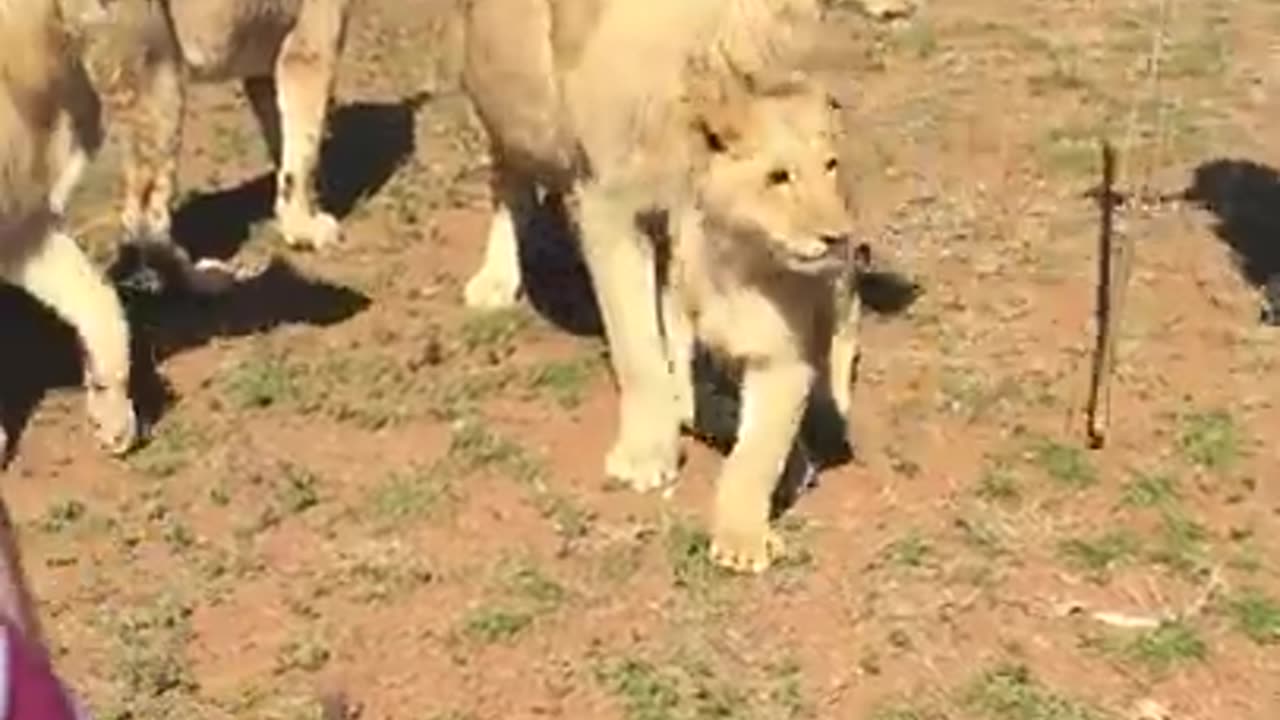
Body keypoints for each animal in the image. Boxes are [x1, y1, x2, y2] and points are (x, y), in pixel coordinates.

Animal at [69, 1, 350, 288]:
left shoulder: (264, 69)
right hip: (160, 79)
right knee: (146, 213)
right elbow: (303, 149)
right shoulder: (307, 50)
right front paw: (305, 229)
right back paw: (205, 279)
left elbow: (283, 144)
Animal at [463, 0, 860, 571]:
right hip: (502, 95)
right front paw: (649, 451)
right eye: (778, 177)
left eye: (830, 166)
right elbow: (640, 346)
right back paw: (495, 278)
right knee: (507, 179)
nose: (836, 235)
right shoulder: (609, 203)